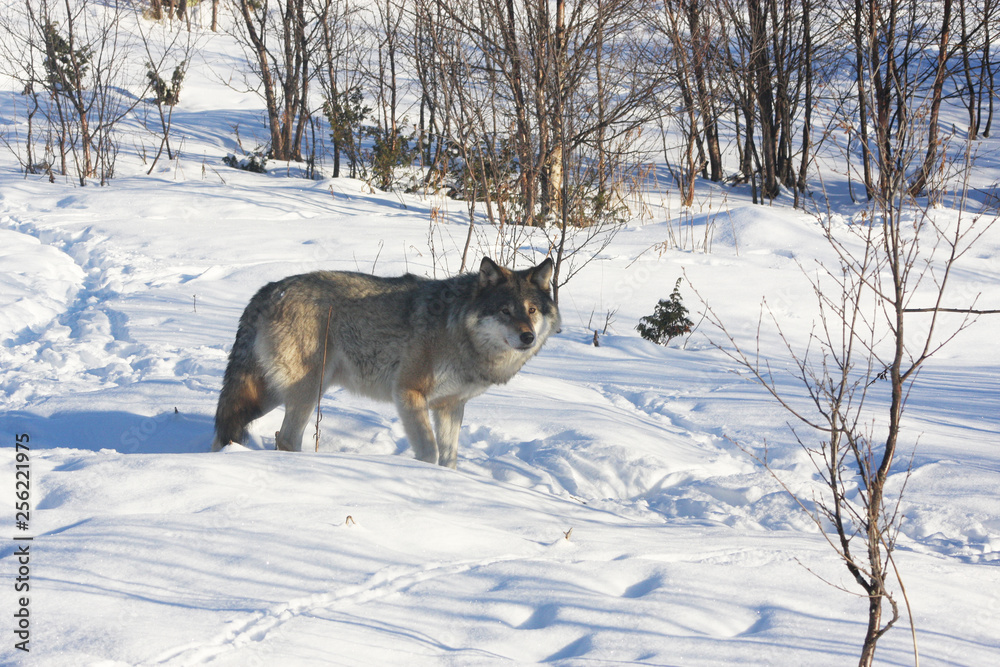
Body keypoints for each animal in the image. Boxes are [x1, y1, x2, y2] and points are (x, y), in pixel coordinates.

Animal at [212, 257, 559, 468]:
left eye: (531, 310)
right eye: (505, 311)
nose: (527, 337)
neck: (457, 329)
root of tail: (269, 290)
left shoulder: (450, 406)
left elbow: (449, 458)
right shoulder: (408, 392)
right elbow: (429, 451)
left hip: (270, 395)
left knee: (230, 427)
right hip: (307, 391)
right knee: (284, 438)